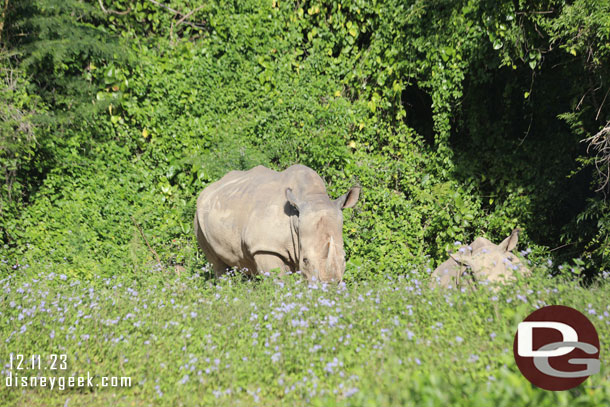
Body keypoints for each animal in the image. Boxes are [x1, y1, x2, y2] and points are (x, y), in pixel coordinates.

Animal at [192, 164, 358, 282]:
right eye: (305, 260)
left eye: (344, 258)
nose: (329, 286)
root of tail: (209, 188)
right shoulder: (265, 247)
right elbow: (278, 281)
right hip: (198, 218)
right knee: (217, 264)